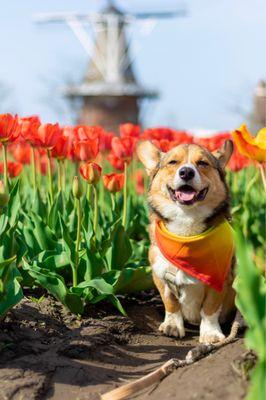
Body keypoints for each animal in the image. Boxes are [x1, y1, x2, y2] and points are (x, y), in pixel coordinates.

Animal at [136, 140, 236, 344]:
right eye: (173, 162)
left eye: (203, 163)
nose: (186, 172)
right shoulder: (160, 275)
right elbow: (171, 303)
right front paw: (172, 326)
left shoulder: (220, 281)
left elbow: (210, 309)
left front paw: (210, 334)